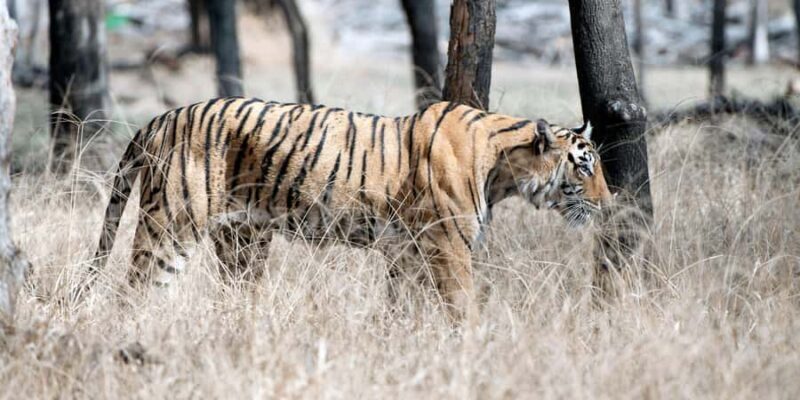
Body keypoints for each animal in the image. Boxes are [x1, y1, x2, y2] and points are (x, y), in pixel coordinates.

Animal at [75, 98, 612, 324]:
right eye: (584, 166)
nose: (610, 203)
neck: (504, 169)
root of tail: (160, 117)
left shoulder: (406, 252)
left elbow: (401, 307)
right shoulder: (448, 246)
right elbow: (462, 304)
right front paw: (472, 346)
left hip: (243, 241)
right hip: (171, 225)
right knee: (133, 290)